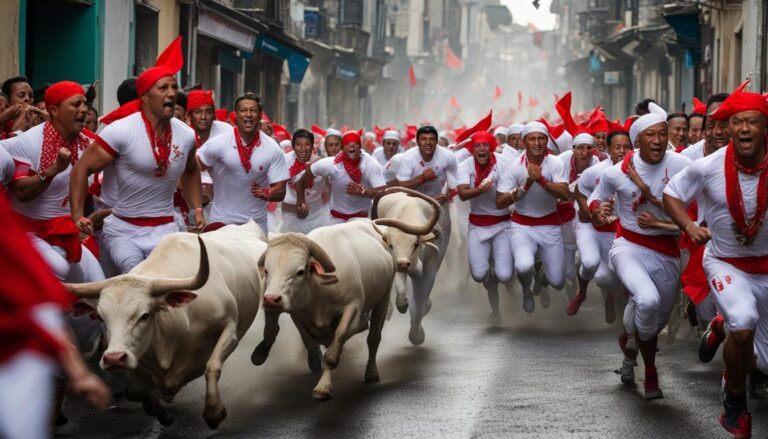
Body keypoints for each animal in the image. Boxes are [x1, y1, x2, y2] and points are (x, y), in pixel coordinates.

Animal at [64, 223, 268, 430]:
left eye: (144, 316)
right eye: (101, 318)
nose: (114, 358)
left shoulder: (229, 328)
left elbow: (212, 366)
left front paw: (214, 413)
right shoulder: (139, 357)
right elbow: (139, 389)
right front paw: (161, 413)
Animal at [254, 223, 396, 402]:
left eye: (300, 271)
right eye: (266, 270)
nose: (271, 299)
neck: (319, 289)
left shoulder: (352, 308)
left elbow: (334, 348)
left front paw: (323, 387)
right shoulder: (299, 314)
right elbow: (309, 340)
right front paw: (315, 360)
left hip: (383, 300)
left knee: (374, 338)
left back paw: (371, 372)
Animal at [370, 189, 444, 348]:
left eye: (415, 244)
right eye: (391, 245)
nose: (403, 264)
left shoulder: (429, 270)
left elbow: (421, 300)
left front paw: (417, 335)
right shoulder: (397, 265)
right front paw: (402, 304)